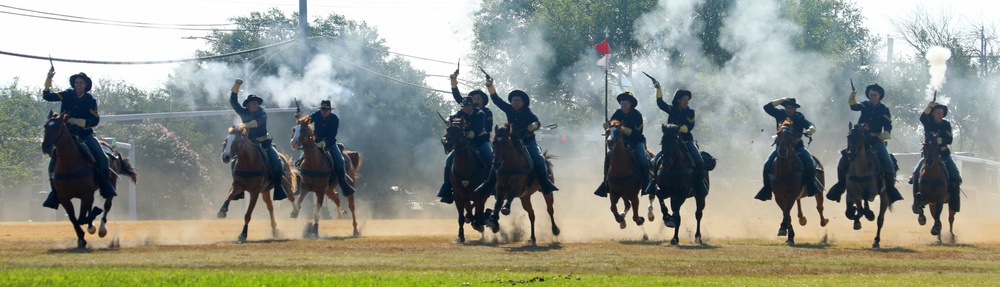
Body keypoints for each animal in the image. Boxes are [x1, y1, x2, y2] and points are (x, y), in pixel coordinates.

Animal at [40, 112, 137, 250]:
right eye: (45, 126)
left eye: (58, 126)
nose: (46, 147)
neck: (69, 165)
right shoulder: (64, 198)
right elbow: (74, 219)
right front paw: (81, 239)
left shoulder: (86, 194)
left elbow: (81, 218)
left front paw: (94, 219)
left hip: (110, 185)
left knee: (107, 205)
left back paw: (101, 228)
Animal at [768, 117, 832, 245]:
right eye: (778, 133)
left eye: (791, 134)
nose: (782, 151)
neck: (784, 171)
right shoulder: (779, 196)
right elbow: (786, 213)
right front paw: (789, 235)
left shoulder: (792, 194)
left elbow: (787, 211)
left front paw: (784, 230)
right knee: (799, 204)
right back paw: (802, 219)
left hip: (819, 190)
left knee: (819, 207)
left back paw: (824, 221)